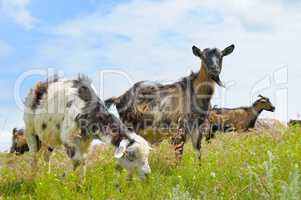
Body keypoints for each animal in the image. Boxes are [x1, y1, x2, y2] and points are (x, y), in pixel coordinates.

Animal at [23, 74, 151, 178]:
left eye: (147, 156)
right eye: (130, 156)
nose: (147, 174)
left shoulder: (85, 142)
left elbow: (83, 160)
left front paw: (80, 185)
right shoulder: (67, 137)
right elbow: (77, 160)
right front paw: (62, 179)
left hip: (50, 138)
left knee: (46, 156)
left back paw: (46, 176)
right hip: (30, 130)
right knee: (33, 156)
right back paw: (32, 180)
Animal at [105, 44, 234, 161]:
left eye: (221, 56)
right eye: (202, 56)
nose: (214, 70)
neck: (194, 93)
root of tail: (119, 98)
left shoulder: (198, 130)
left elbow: (199, 155)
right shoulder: (179, 130)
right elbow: (178, 157)